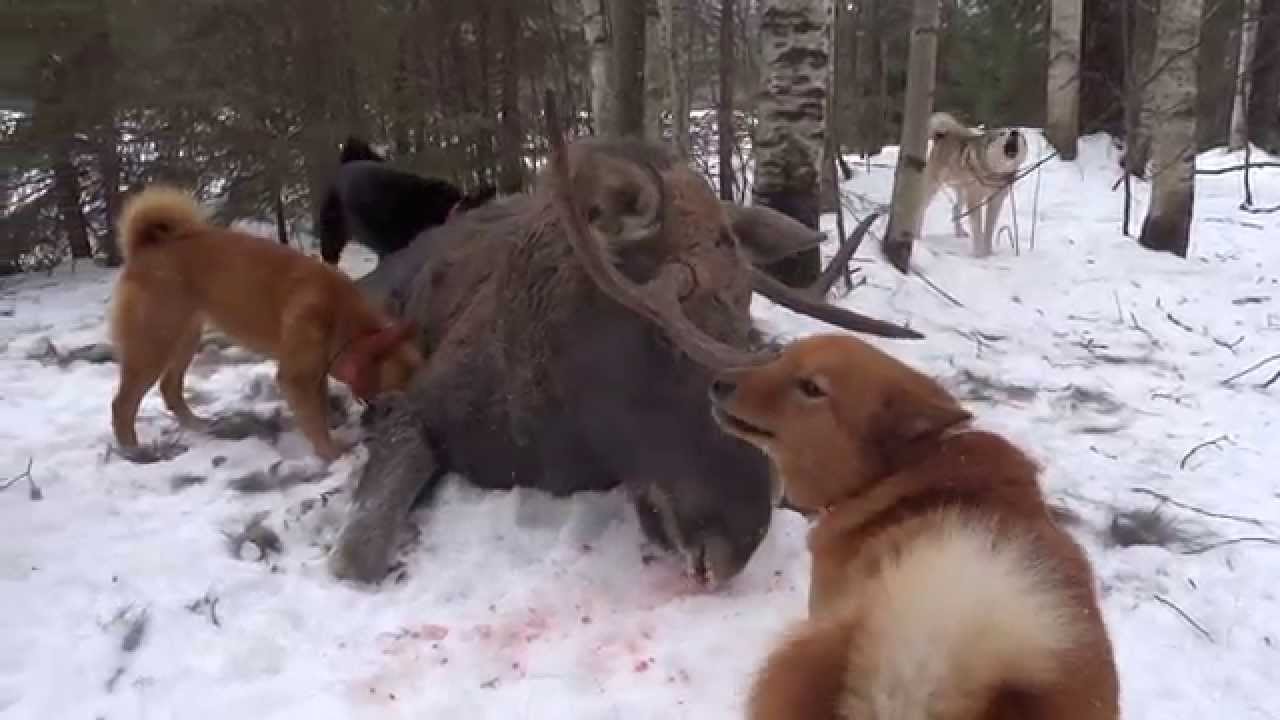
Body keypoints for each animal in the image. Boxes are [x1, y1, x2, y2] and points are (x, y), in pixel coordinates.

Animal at [108, 181, 422, 456]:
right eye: (402, 382)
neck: (341, 318)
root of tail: (146, 247)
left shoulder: (314, 371)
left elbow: (318, 409)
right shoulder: (295, 377)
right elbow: (315, 422)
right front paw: (332, 454)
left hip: (184, 339)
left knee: (169, 388)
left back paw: (197, 425)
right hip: (153, 346)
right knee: (122, 404)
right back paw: (132, 450)